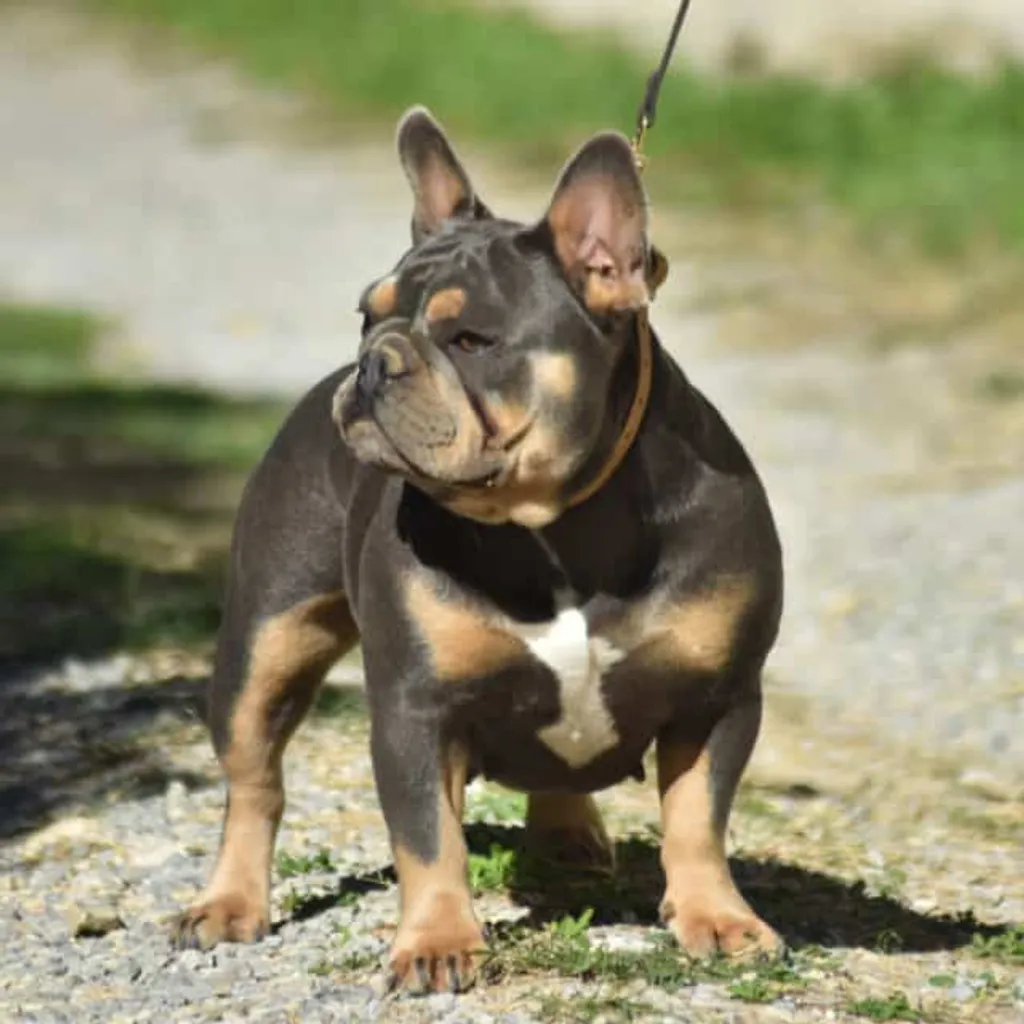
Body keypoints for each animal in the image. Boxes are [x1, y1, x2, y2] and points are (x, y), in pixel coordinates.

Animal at [174, 105, 782, 991]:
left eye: (470, 340)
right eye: (367, 314)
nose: (373, 360)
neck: (554, 522)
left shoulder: (718, 695)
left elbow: (699, 817)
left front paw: (719, 917)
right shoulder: (414, 708)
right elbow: (430, 837)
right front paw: (435, 942)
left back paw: (568, 841)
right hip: (265, 644)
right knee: (254, 781)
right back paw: (228, 903)